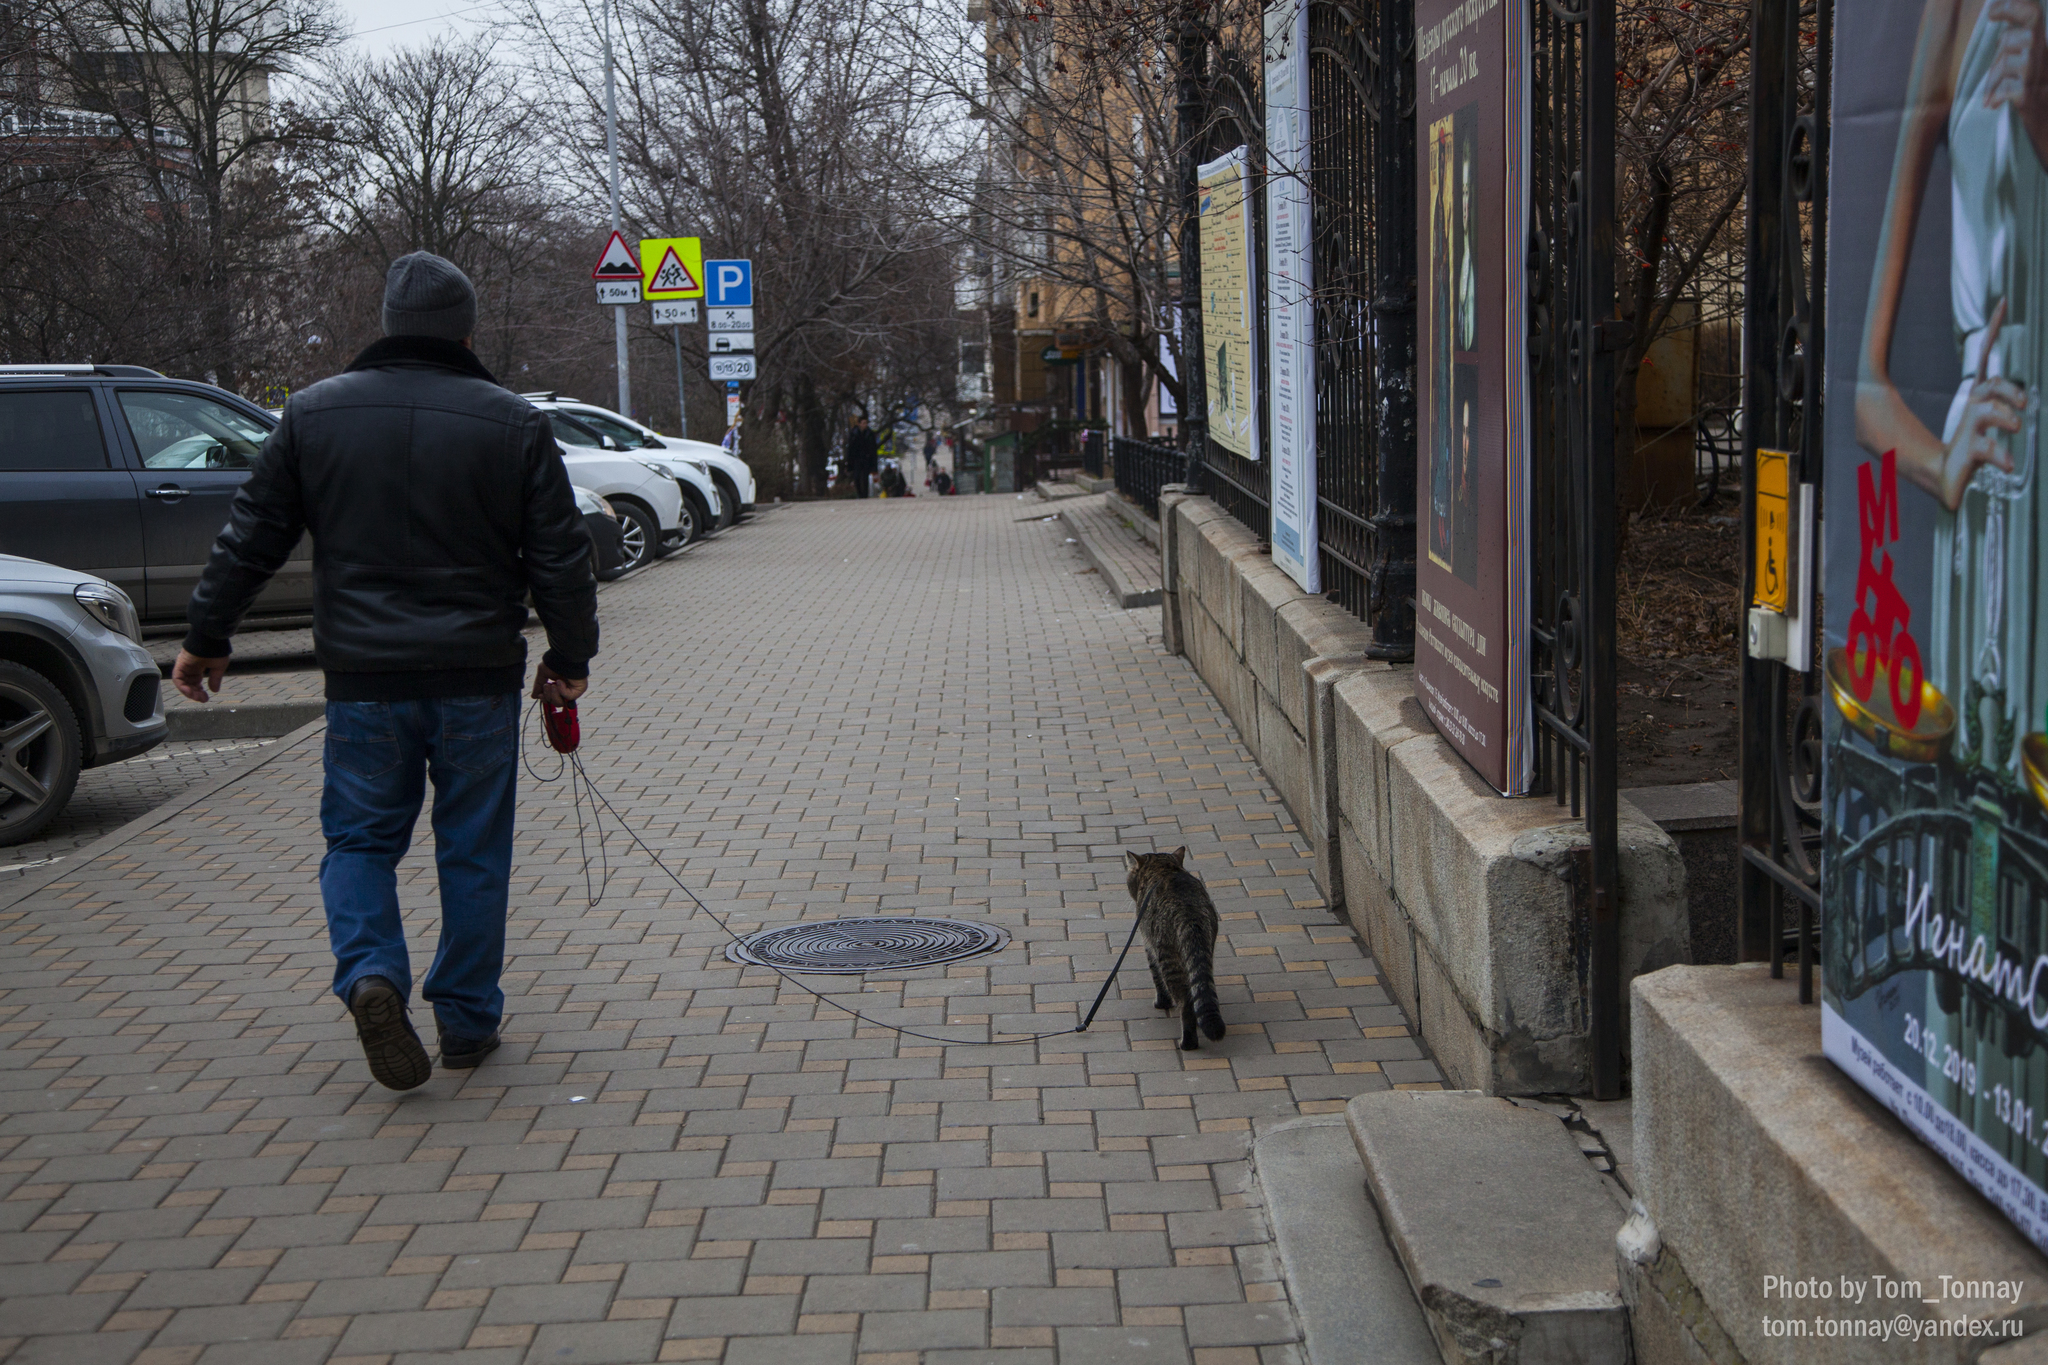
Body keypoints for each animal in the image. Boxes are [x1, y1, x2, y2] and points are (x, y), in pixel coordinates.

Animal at [1130, 847, 1220, 1055]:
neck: (1164, 868)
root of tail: (1189, 912)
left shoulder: (1149, 946)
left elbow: (1156, 978)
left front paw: (1161, 1002)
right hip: (1203, 950)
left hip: (1168, 958)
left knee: (1186, 1003)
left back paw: (1188, 1042)